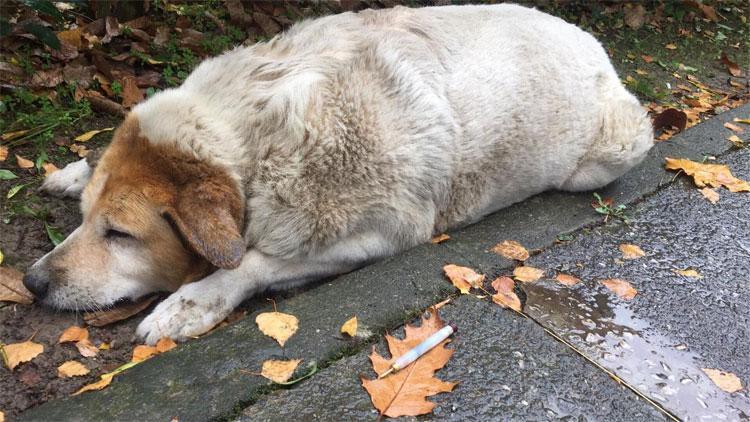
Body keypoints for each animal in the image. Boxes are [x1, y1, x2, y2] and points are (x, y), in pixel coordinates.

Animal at [27, 4, 652, 344]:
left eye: (120, 234)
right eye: (85, 221)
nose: (32, 283)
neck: (254, 136)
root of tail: (591, 40)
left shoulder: (377, 234)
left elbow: (253, 262)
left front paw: (193, 302)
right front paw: (73, 173)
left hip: (615, 148)